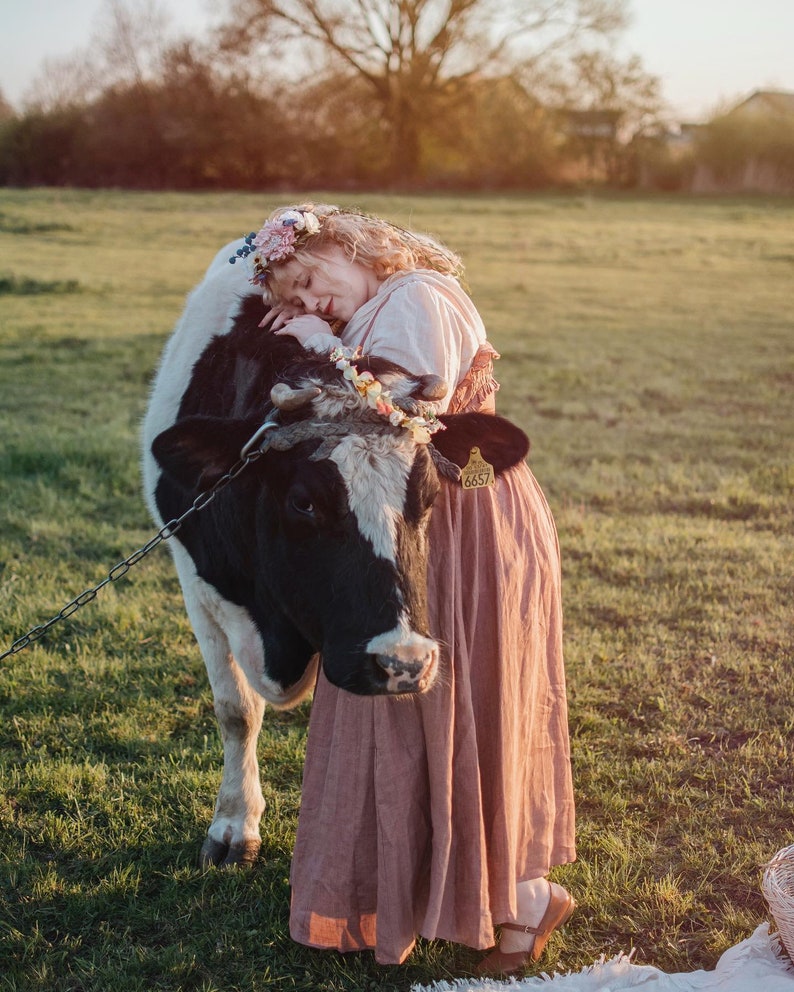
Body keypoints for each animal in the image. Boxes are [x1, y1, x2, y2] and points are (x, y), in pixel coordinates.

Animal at [142, 246, 524, 868]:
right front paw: (233, 826)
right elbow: (235, 710)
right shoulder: (196, 581)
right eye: (303, 501)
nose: (403, 662)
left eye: (429, 497)